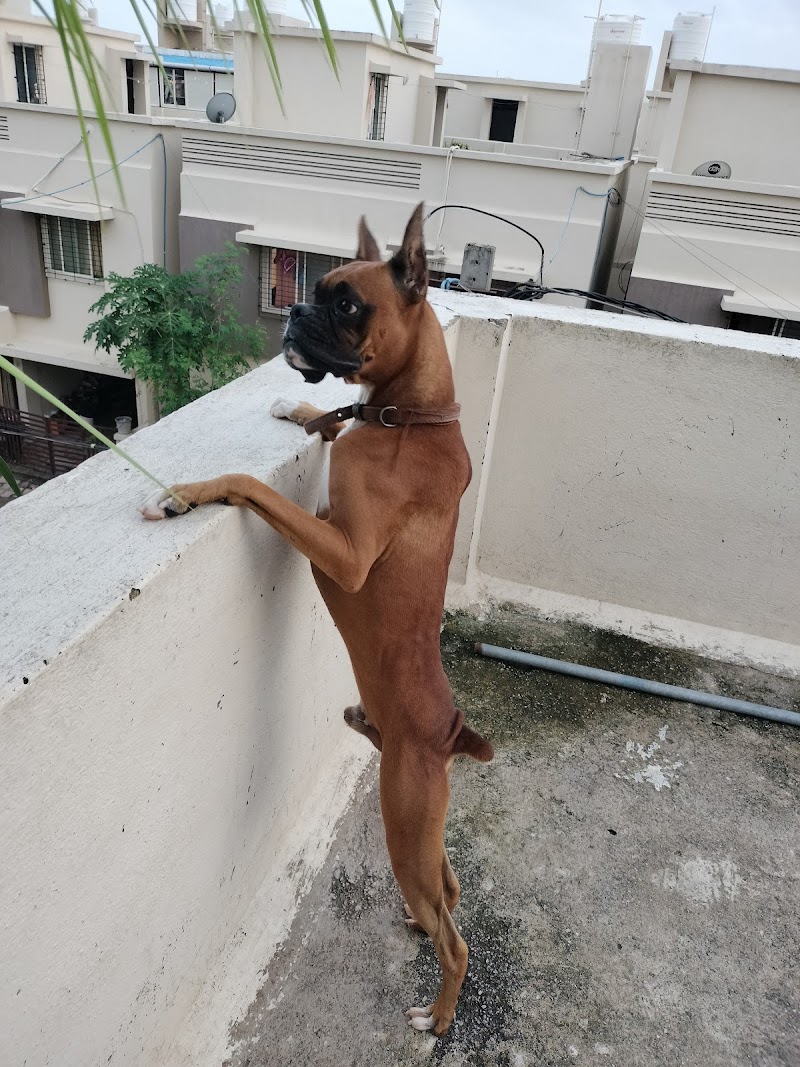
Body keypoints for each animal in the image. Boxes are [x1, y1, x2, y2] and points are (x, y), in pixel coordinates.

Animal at [140, 204, 494, 1036]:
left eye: (348, 304)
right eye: (318, 290)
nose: (296, 309)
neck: (408, 415)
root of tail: (449, 731)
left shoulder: (345, 550)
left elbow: (254, 486)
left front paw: (188, 492)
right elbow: (326, 417)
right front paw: (293, 406)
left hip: (402, 820)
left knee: (457, 937)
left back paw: (437, 1015)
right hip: (419, 827)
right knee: (449, 889)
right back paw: (419, 922)